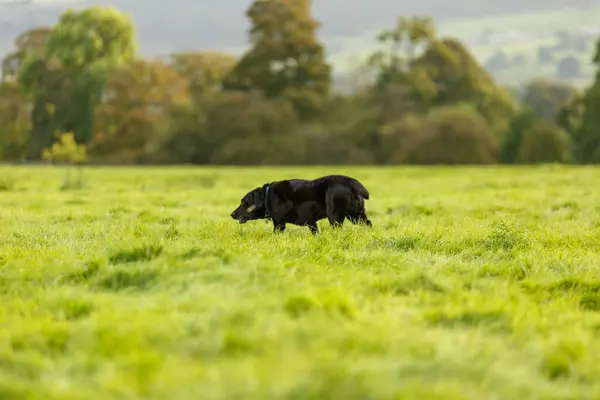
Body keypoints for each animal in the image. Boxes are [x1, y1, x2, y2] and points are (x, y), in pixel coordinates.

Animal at [230, 173, 370, 233]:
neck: (268, 196)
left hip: (335, 216)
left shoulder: (279, 224)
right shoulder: (311, 223)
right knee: (368, 224)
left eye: (245, 202)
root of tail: (349, 181)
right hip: (356, 216)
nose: (232, 214)